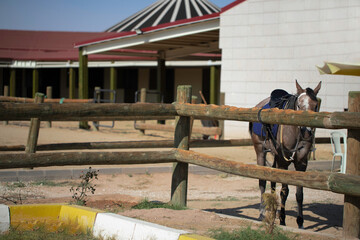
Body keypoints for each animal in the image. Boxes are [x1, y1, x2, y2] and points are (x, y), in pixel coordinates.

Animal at [249, 80, 322, 229]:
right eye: (299, 105)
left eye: (315, 105)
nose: (306, 132)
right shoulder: (283, 162)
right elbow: (284, 191)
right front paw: (282, 219)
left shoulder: (301, 163)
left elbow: (299, 194)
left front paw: (300, 221)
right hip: (260, 151)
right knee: (262, 181)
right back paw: (262, 212)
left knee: (272, 181)